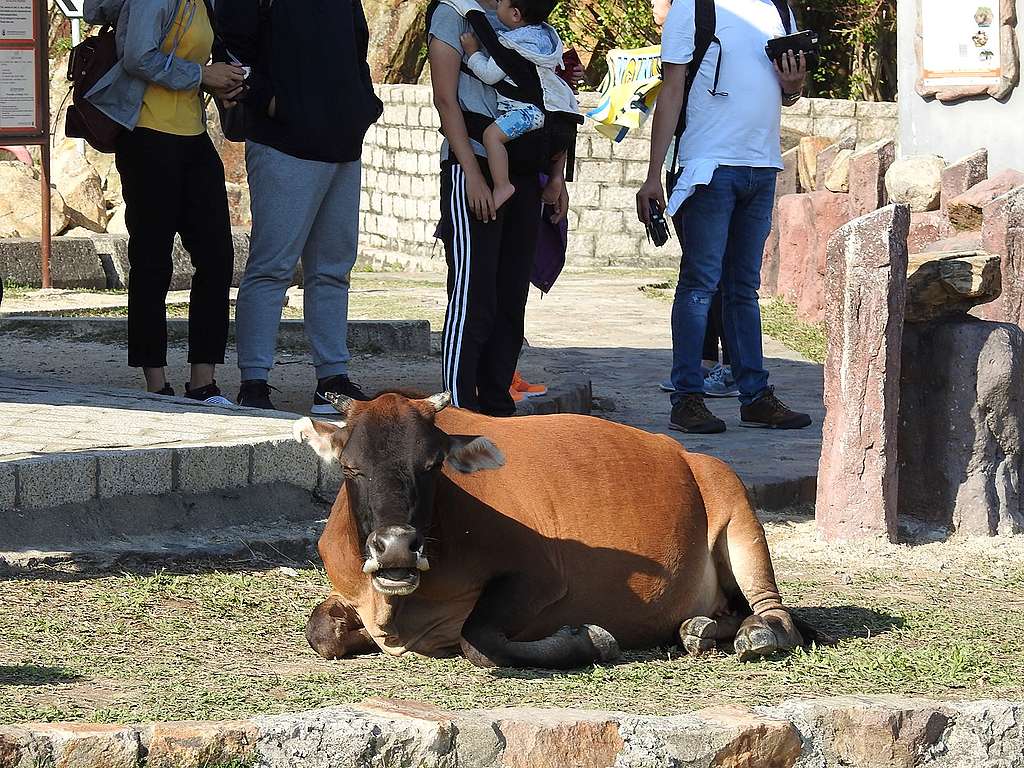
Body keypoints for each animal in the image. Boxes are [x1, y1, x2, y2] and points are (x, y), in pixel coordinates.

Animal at [292, 393, 802, 671]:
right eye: (350, 467)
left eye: (433, 465)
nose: (397, 548)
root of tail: (685, 454)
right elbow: (321, 632)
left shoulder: (541, 577)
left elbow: (479, 640)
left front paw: (590, 640)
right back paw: (698, 629)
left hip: (735, 504)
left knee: (778, 615)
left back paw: (757, 634)